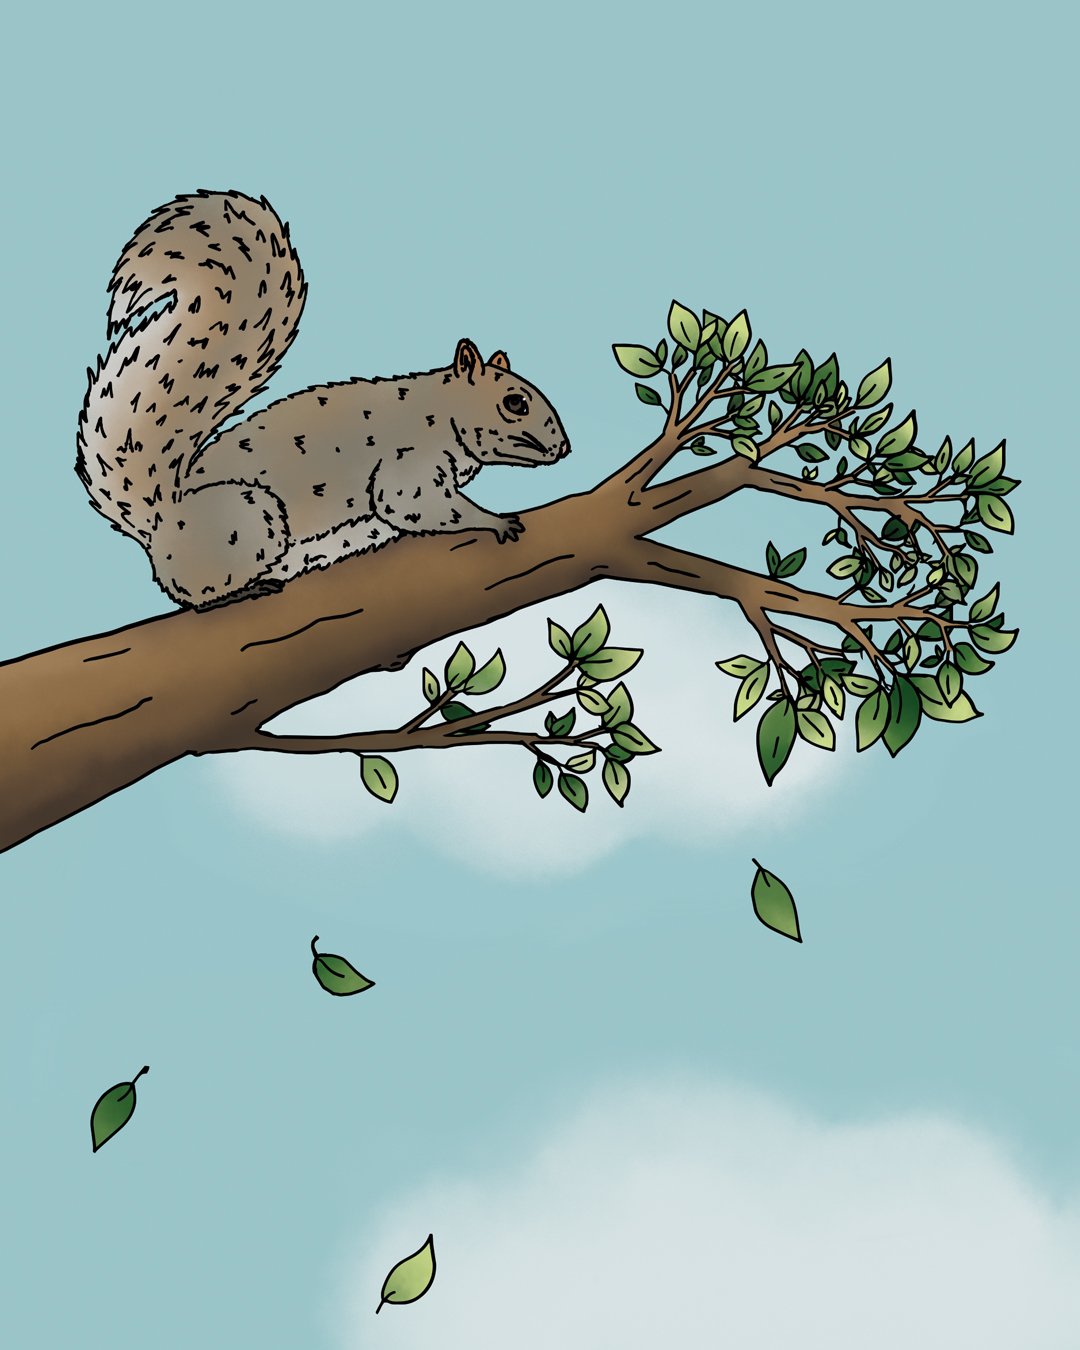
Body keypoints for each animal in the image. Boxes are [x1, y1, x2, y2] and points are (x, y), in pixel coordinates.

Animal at [76, 190, 571, 609]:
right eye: (515, 403)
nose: (565, 448)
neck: (439, 411)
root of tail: (160, 522)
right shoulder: (408, 466)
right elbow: (416, 503)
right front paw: (495, 520)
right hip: (244, 518)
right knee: (195, 595)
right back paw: (243, 591)